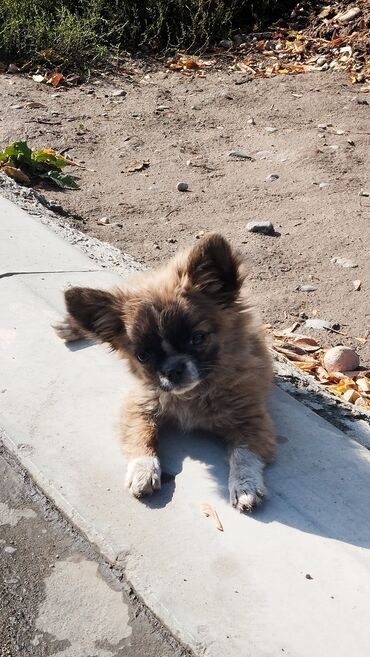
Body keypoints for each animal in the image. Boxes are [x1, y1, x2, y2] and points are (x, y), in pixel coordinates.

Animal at [54, 233, 274, 510]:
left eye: (198, 338)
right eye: (143, 356)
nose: (173, 370)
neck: (194, 395)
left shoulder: (252, 420)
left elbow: (244, 455)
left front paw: (245, 485)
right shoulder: (139, 406)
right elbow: (142, 436)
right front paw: (143, 470)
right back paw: (70, 325)